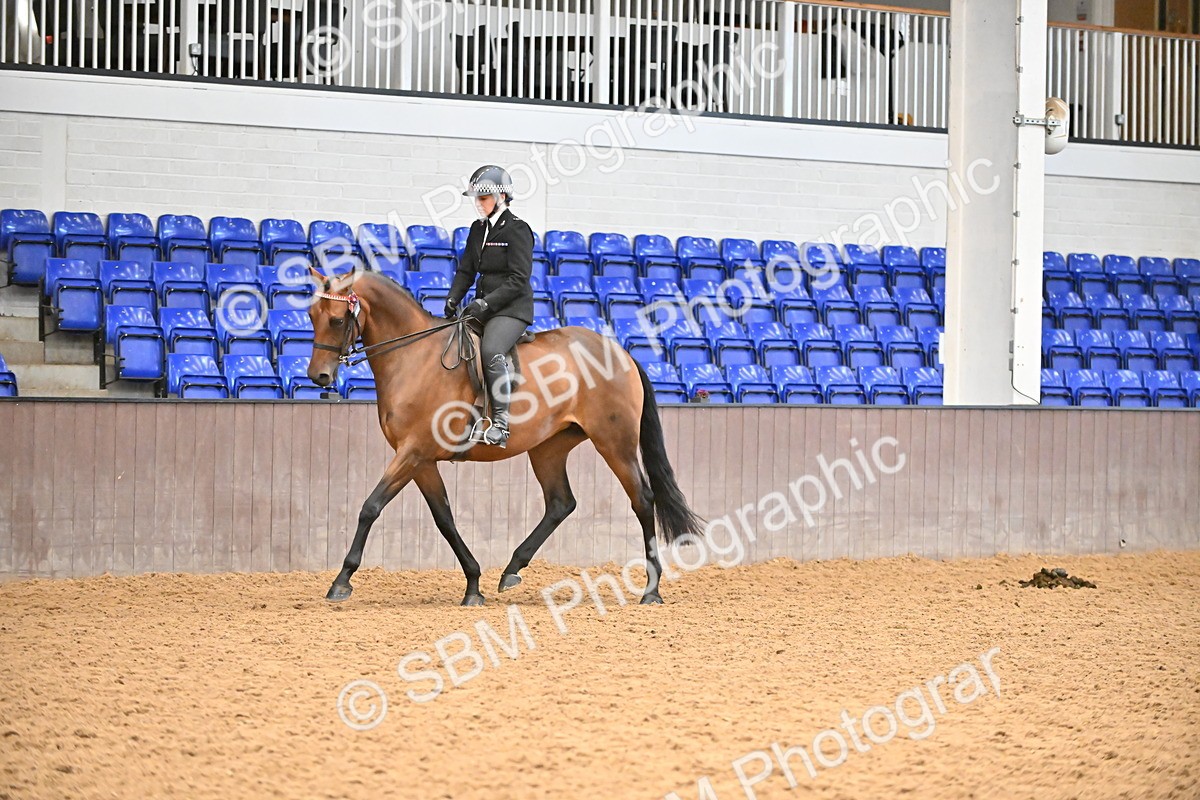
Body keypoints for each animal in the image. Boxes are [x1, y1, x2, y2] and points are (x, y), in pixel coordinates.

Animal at [304, 268, 704, 606]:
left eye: (337, 319)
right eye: (310, 316)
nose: (318, 377)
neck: (413, 358)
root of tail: (620, 353)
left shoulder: (412, 452)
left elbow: (370, 507)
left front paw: (341, 581)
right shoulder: (421, 460)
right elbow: (444, 519)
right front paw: (473, 585)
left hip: (614, 442)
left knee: (643, 500)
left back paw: (651, 590)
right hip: (548, 448)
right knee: (561, 503)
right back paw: (512, 569)